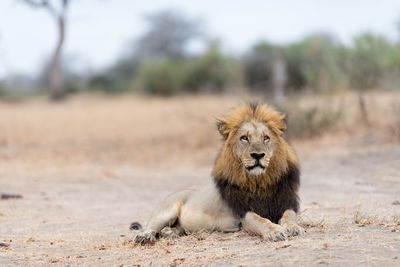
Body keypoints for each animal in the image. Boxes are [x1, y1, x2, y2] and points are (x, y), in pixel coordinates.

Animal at [132, 103, 304, 245]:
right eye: (244, 138)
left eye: (266, 138)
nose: (258, 155)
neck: (260, 182)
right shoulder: (242, 212)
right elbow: (260, 220)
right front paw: (275, 231)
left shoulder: (286, 202)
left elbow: (289, 216)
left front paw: (294, 227)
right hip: (167, 209)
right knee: (150, 226)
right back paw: (145, 236)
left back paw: (169, 232)